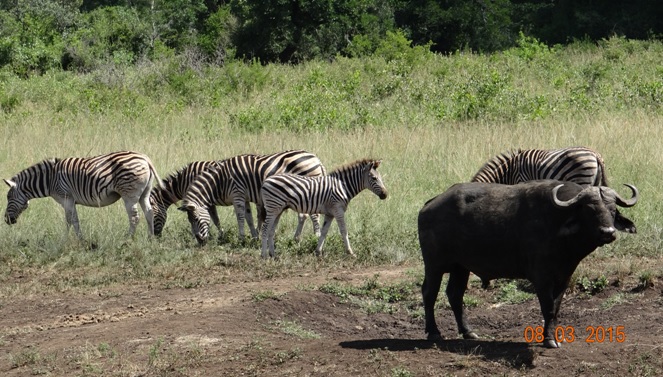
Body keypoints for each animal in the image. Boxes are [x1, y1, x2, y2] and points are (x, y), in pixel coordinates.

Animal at [4, 150, 167, 238]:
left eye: (8, 197)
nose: (6, 220)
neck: (50, 179)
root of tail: (145, 158)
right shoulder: (71, 200)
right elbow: (75, 220)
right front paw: (80, 240)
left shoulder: (66, 198)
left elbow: (70, 221)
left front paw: (66, 240)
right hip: (144, 193)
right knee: (149, 213)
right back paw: (150, 238)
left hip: (129, 195)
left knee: (134, 217)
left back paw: (128, 239)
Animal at [179, 148, 326, 245]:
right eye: (189, 221)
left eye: (196, 219)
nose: (200, 241)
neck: (220, 180)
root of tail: (316, 159)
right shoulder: (244, 197)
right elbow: (249, 218)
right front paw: (255, 237)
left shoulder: (237, 194)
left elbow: (240, 217)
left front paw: (241, 238)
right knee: (304, 215)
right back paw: (296, 238)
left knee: (313, 215)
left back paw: (316, 236)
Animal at [256, 158, 386, 258]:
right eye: (374, 178)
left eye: (380, 177)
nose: (385, 194)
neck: (343, 187)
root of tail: (266, 180)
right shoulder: (338, 210)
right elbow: (344, 231)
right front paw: (350, 252)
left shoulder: (330, 213)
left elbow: (324, 232)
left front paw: (318, 252)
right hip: (273, 207)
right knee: (265, 229)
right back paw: (264, 255)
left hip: (278, 210)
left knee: (271, 230)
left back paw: (273, 254)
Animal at [418, 179, 640, 346]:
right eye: (590, 210)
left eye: (612, 210)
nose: (608, 232)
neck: (558, 227)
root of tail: (429, 205)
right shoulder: (541, 278)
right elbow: (547, 307)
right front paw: (548, 340)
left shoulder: (564, 277)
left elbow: (556, 308)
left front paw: (553, 336)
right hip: (433, 265)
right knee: (429, 293)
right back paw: (434, 332)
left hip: (461, 267)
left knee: (455, 295)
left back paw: (467, 331)